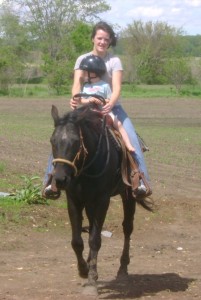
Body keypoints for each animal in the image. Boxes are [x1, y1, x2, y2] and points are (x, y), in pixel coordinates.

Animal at [50, 103, 152, 296]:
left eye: (76, 141)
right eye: (52, 141)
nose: (59, 179)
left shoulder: (102, 200)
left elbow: (95, 240)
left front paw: (91, 281)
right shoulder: (74, 200)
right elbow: (77, 241)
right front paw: (83, 270)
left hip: (128, 195)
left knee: (127, 228)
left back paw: (122, 269)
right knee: (91, 229)